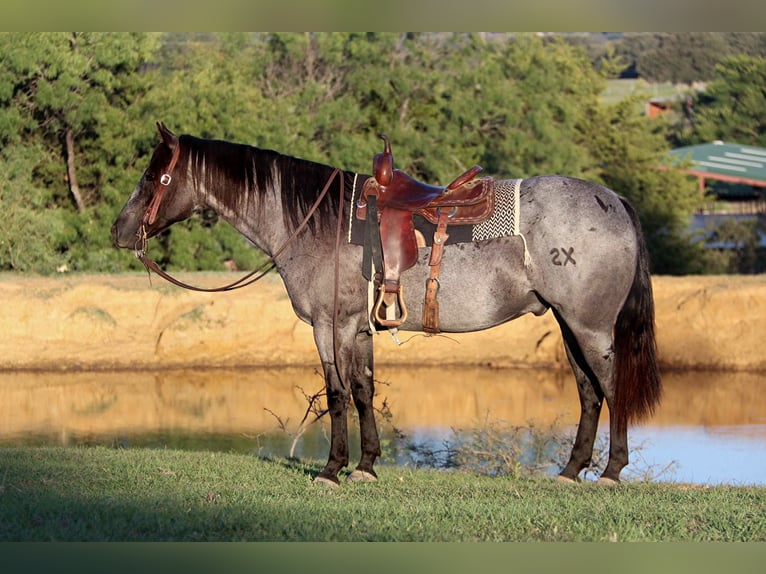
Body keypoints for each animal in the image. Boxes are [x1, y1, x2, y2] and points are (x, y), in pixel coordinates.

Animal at [111, 124, 664, 488]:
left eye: (153, 178)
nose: (119, 231)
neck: (319, 221)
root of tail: (614, 200)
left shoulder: (329, 326)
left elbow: (336, 393)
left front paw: (332, 470)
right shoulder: (359, 328)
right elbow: (363, 391)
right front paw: (367, 465)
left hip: (590, 327)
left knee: (611, 388)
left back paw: (611, 471)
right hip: (571, 327)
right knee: (589, 394)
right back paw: (570, 472)